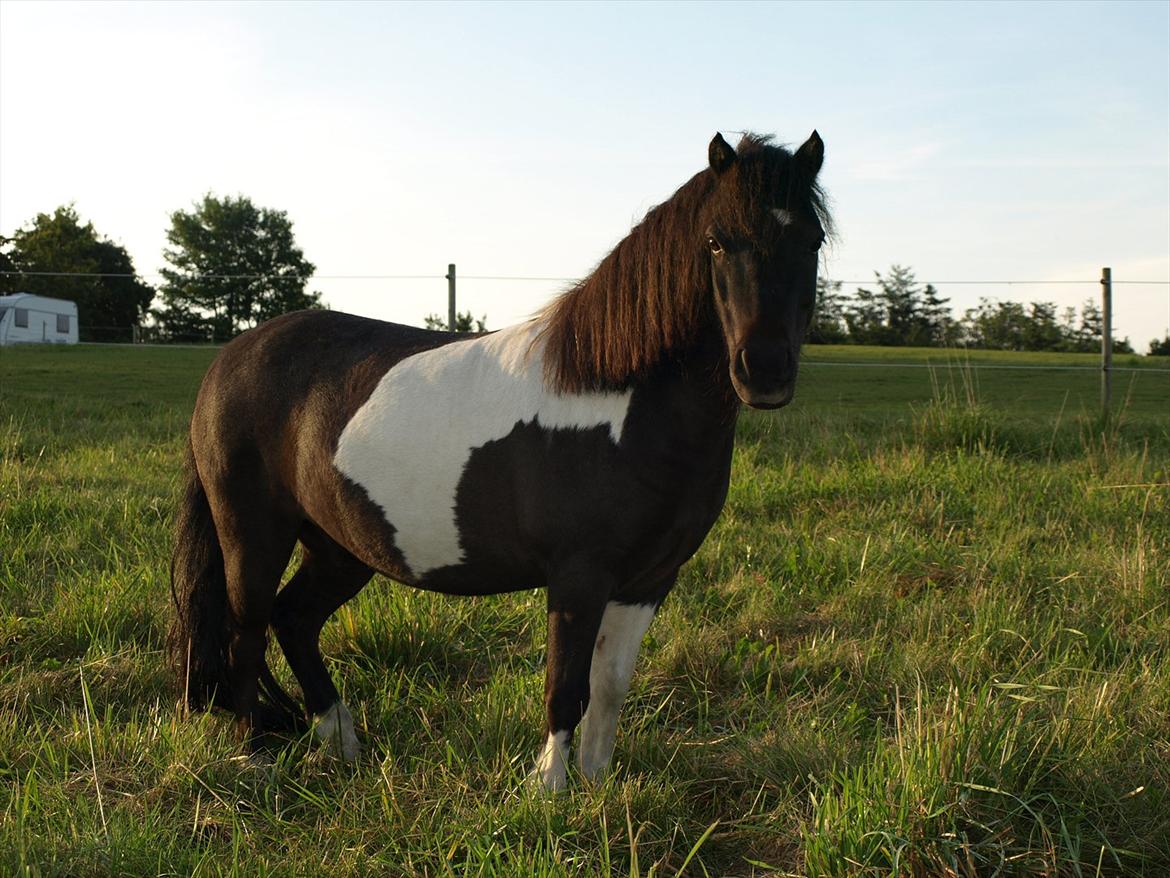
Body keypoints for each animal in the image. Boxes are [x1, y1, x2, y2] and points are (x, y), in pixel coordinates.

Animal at [167, 130, 831, 791]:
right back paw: (252, 756)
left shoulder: (649, 581)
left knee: (294, 620)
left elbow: (609, 689)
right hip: (253, 534)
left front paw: (596, 787)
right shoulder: (578, 575)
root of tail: (231, 357)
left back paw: (340, 741)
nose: (764, 371)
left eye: (812, 240)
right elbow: (566, 688)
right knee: (246, 631)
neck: (621, 400)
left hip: (340, 546)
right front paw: (550, 790)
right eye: (716, 241)